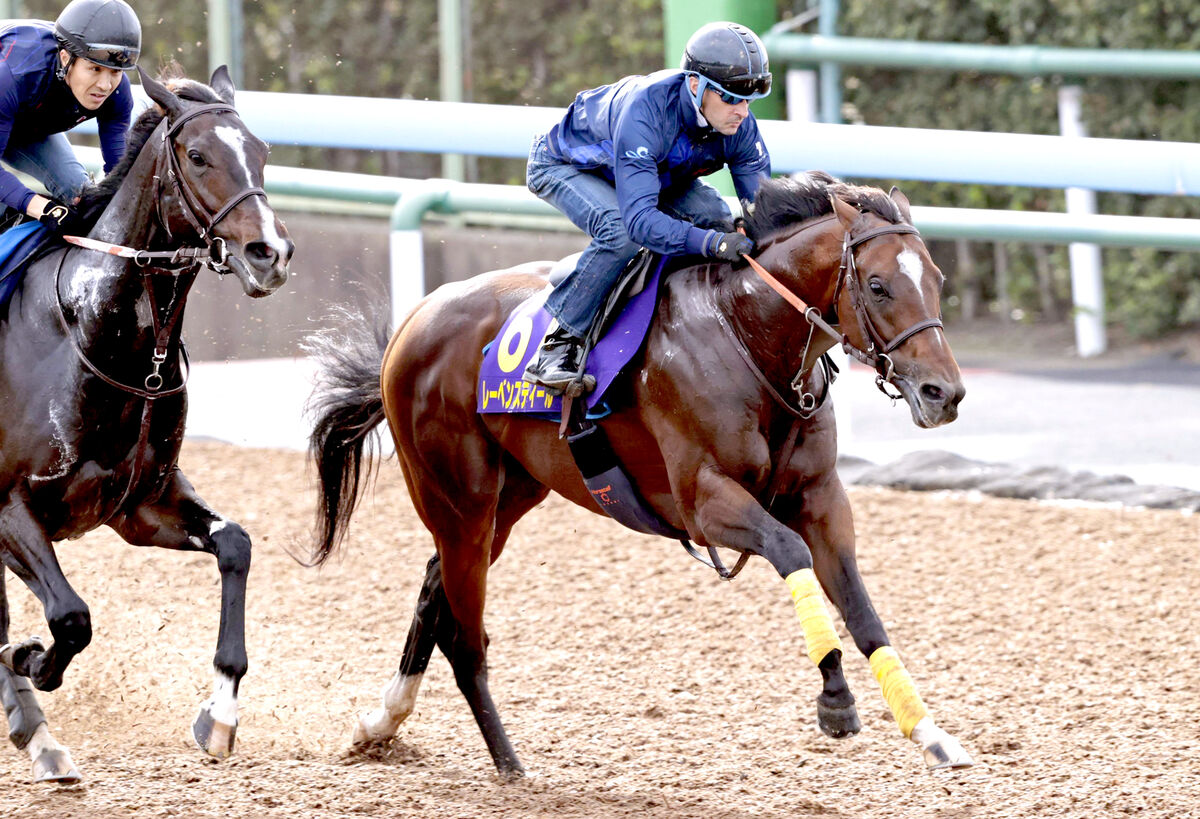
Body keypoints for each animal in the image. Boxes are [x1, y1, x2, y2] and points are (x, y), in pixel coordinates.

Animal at [0, 66, 292, 782]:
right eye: (198, 156)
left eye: (262, 151)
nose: (269, 253)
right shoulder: (8, 506)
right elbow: (69, 618)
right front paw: (29, 661)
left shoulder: (140, 503)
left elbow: (236, 544)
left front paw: (220, 714)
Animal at [307, 170, 974, 773]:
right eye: (879, 285)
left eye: (937, 280)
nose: (944, 394)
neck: (747, 332)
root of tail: (417, 318)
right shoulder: (705, 502)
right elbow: (790, 552)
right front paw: (835, 698)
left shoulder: (821, 498)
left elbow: (862, 611)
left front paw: (930, 732)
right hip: (458, 499)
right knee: (465, 634)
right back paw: (508, 764)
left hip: (508, 496)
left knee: (433, 591)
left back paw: (381, 723)